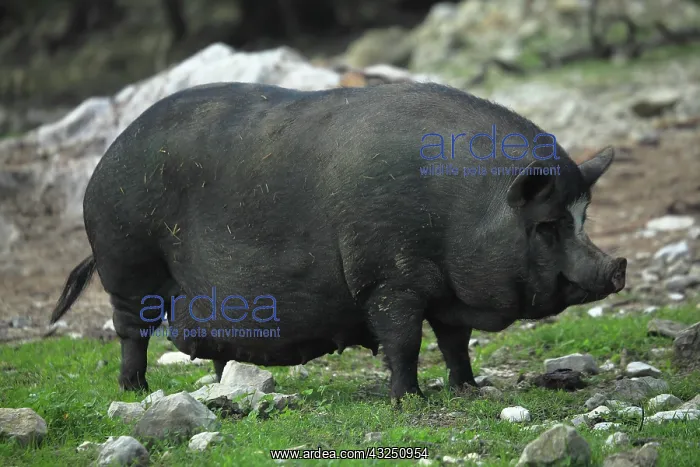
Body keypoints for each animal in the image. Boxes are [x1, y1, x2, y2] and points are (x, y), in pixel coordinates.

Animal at [49, 81, 626, 400]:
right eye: (546, 225)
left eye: (583, 215)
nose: (616, 266)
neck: (464, 210)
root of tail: (105, 160)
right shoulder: (388, 280)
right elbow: (404, 341)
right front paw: (408, 400)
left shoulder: (447, 293)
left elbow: (454, 342)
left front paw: (469, 389)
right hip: (127, 261)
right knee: (132, 332)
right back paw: (135, 390)